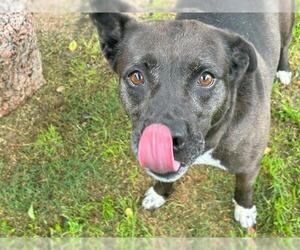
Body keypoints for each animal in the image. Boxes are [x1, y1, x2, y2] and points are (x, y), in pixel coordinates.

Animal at [90, 0, 294, 228]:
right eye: (136, 77)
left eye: (206, 78)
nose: (164, 141)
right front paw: (159, 193)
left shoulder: (249, 167)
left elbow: (244, 188)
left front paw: (245, 210)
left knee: (285, 45)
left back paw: (284, 69)